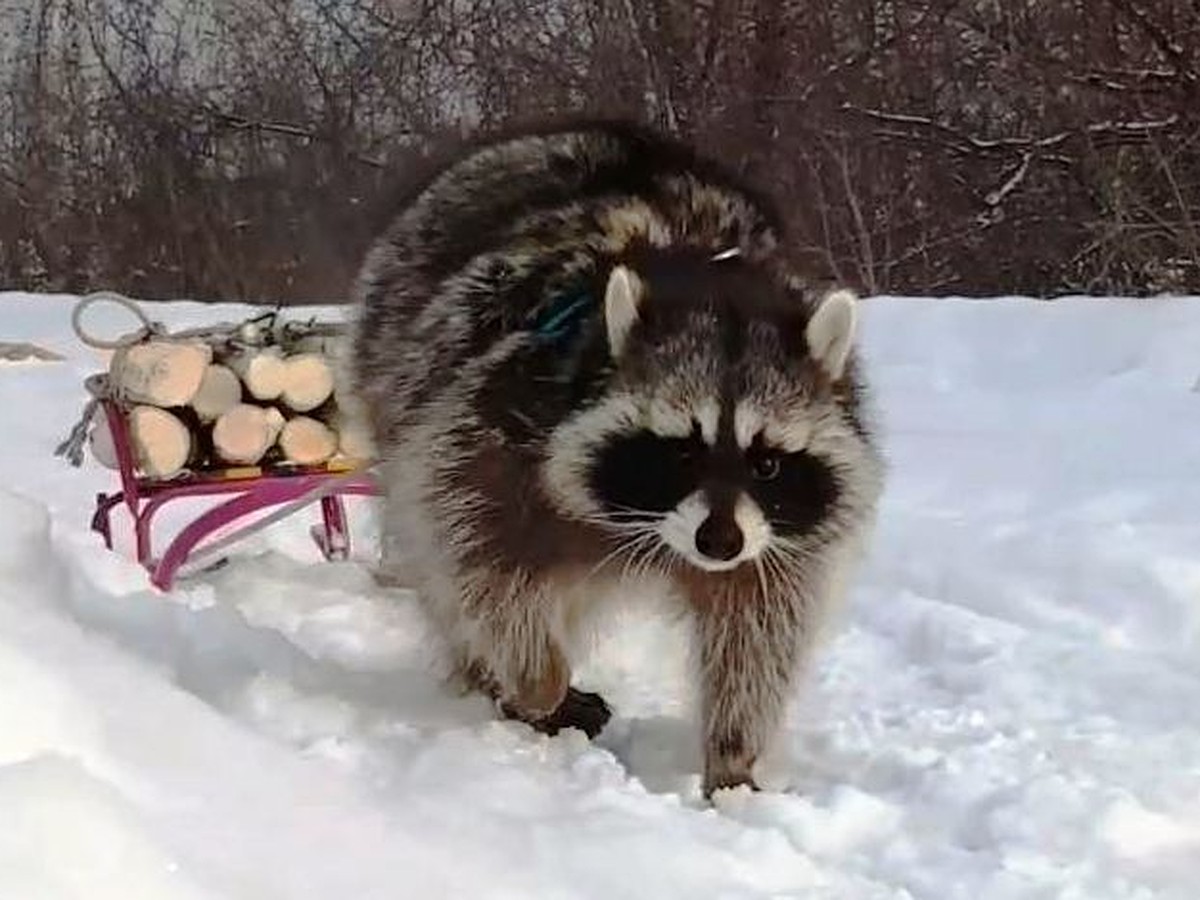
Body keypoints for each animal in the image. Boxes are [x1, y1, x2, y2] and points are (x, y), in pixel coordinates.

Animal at [348, 118, 883, 796]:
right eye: (680, 451)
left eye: (767, 463)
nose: (718, 542)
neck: (717, 289)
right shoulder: (493, 416)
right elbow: (478, 555)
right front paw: (535, 675)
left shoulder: (780, 534)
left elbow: (761, 627)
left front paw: (735, 753)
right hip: (396, 367)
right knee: (441, 563)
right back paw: (494, 677)